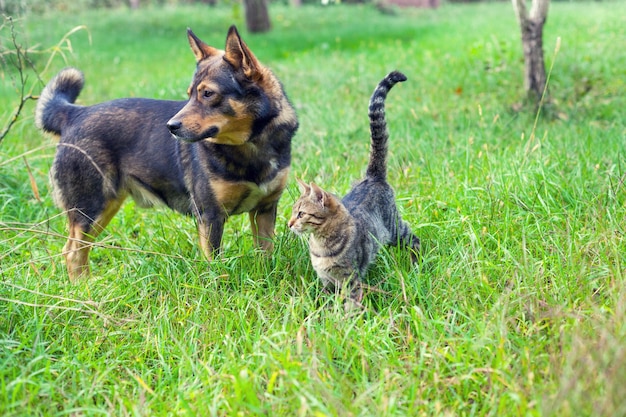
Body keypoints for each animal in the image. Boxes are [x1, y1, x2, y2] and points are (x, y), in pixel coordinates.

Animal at [34, 25, 298, 280]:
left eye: (208, 94)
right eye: (189, 94)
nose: (171, 126)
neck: (250, 146)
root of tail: (74, 113)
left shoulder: (264, 210)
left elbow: (265, 254)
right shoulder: (210, 216)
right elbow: (215, 266)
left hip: (103, 209)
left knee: (81, 249)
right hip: (90, 207)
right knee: (72, 252)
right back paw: (83, 288)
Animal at [288, 70, 420, 306]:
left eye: (301, 214)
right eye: (293, 212)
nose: (289, 224)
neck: (321, 246)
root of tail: (372, 176)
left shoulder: (350, 280)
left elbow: (350, 305)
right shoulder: (327, 281)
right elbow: (326, 303)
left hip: (396, 229)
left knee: (414, 239)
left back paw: (416, 264)